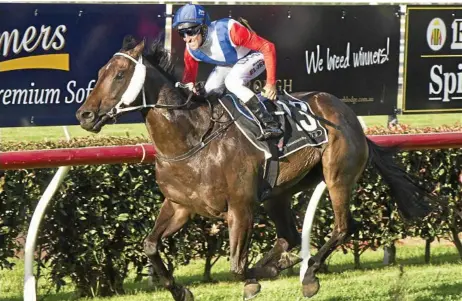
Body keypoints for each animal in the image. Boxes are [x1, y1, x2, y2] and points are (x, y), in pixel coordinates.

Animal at [75, 36, 434, 298]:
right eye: (101, 72)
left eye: (119, 75)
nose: (85, 115)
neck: (191, 141)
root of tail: (344, 110)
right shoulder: (179, 205)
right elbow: (150, 244)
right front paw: (179, 290)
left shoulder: (241, 206)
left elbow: (236, 266)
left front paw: (255, 278)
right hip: (279, 192)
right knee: (290, 235)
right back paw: (283, 263)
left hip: (337, 178)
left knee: (343, 228)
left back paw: (308, 276)